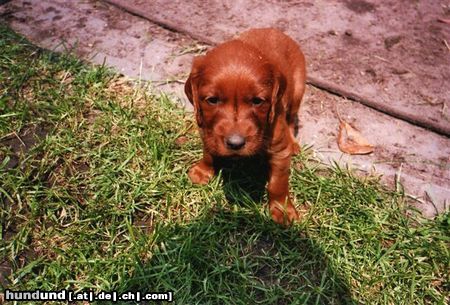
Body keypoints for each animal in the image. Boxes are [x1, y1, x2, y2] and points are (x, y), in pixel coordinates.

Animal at [184, 27, 306, 224]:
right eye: (212, 100)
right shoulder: (206, 129)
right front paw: (203, 171)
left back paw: (294, 143)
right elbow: (208, 152)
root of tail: (273, 29)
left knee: (292, 118)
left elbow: (277, 184)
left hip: (297, 91)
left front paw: (283, 210)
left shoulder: (280, 150)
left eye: (257, 101)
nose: (235, 144)